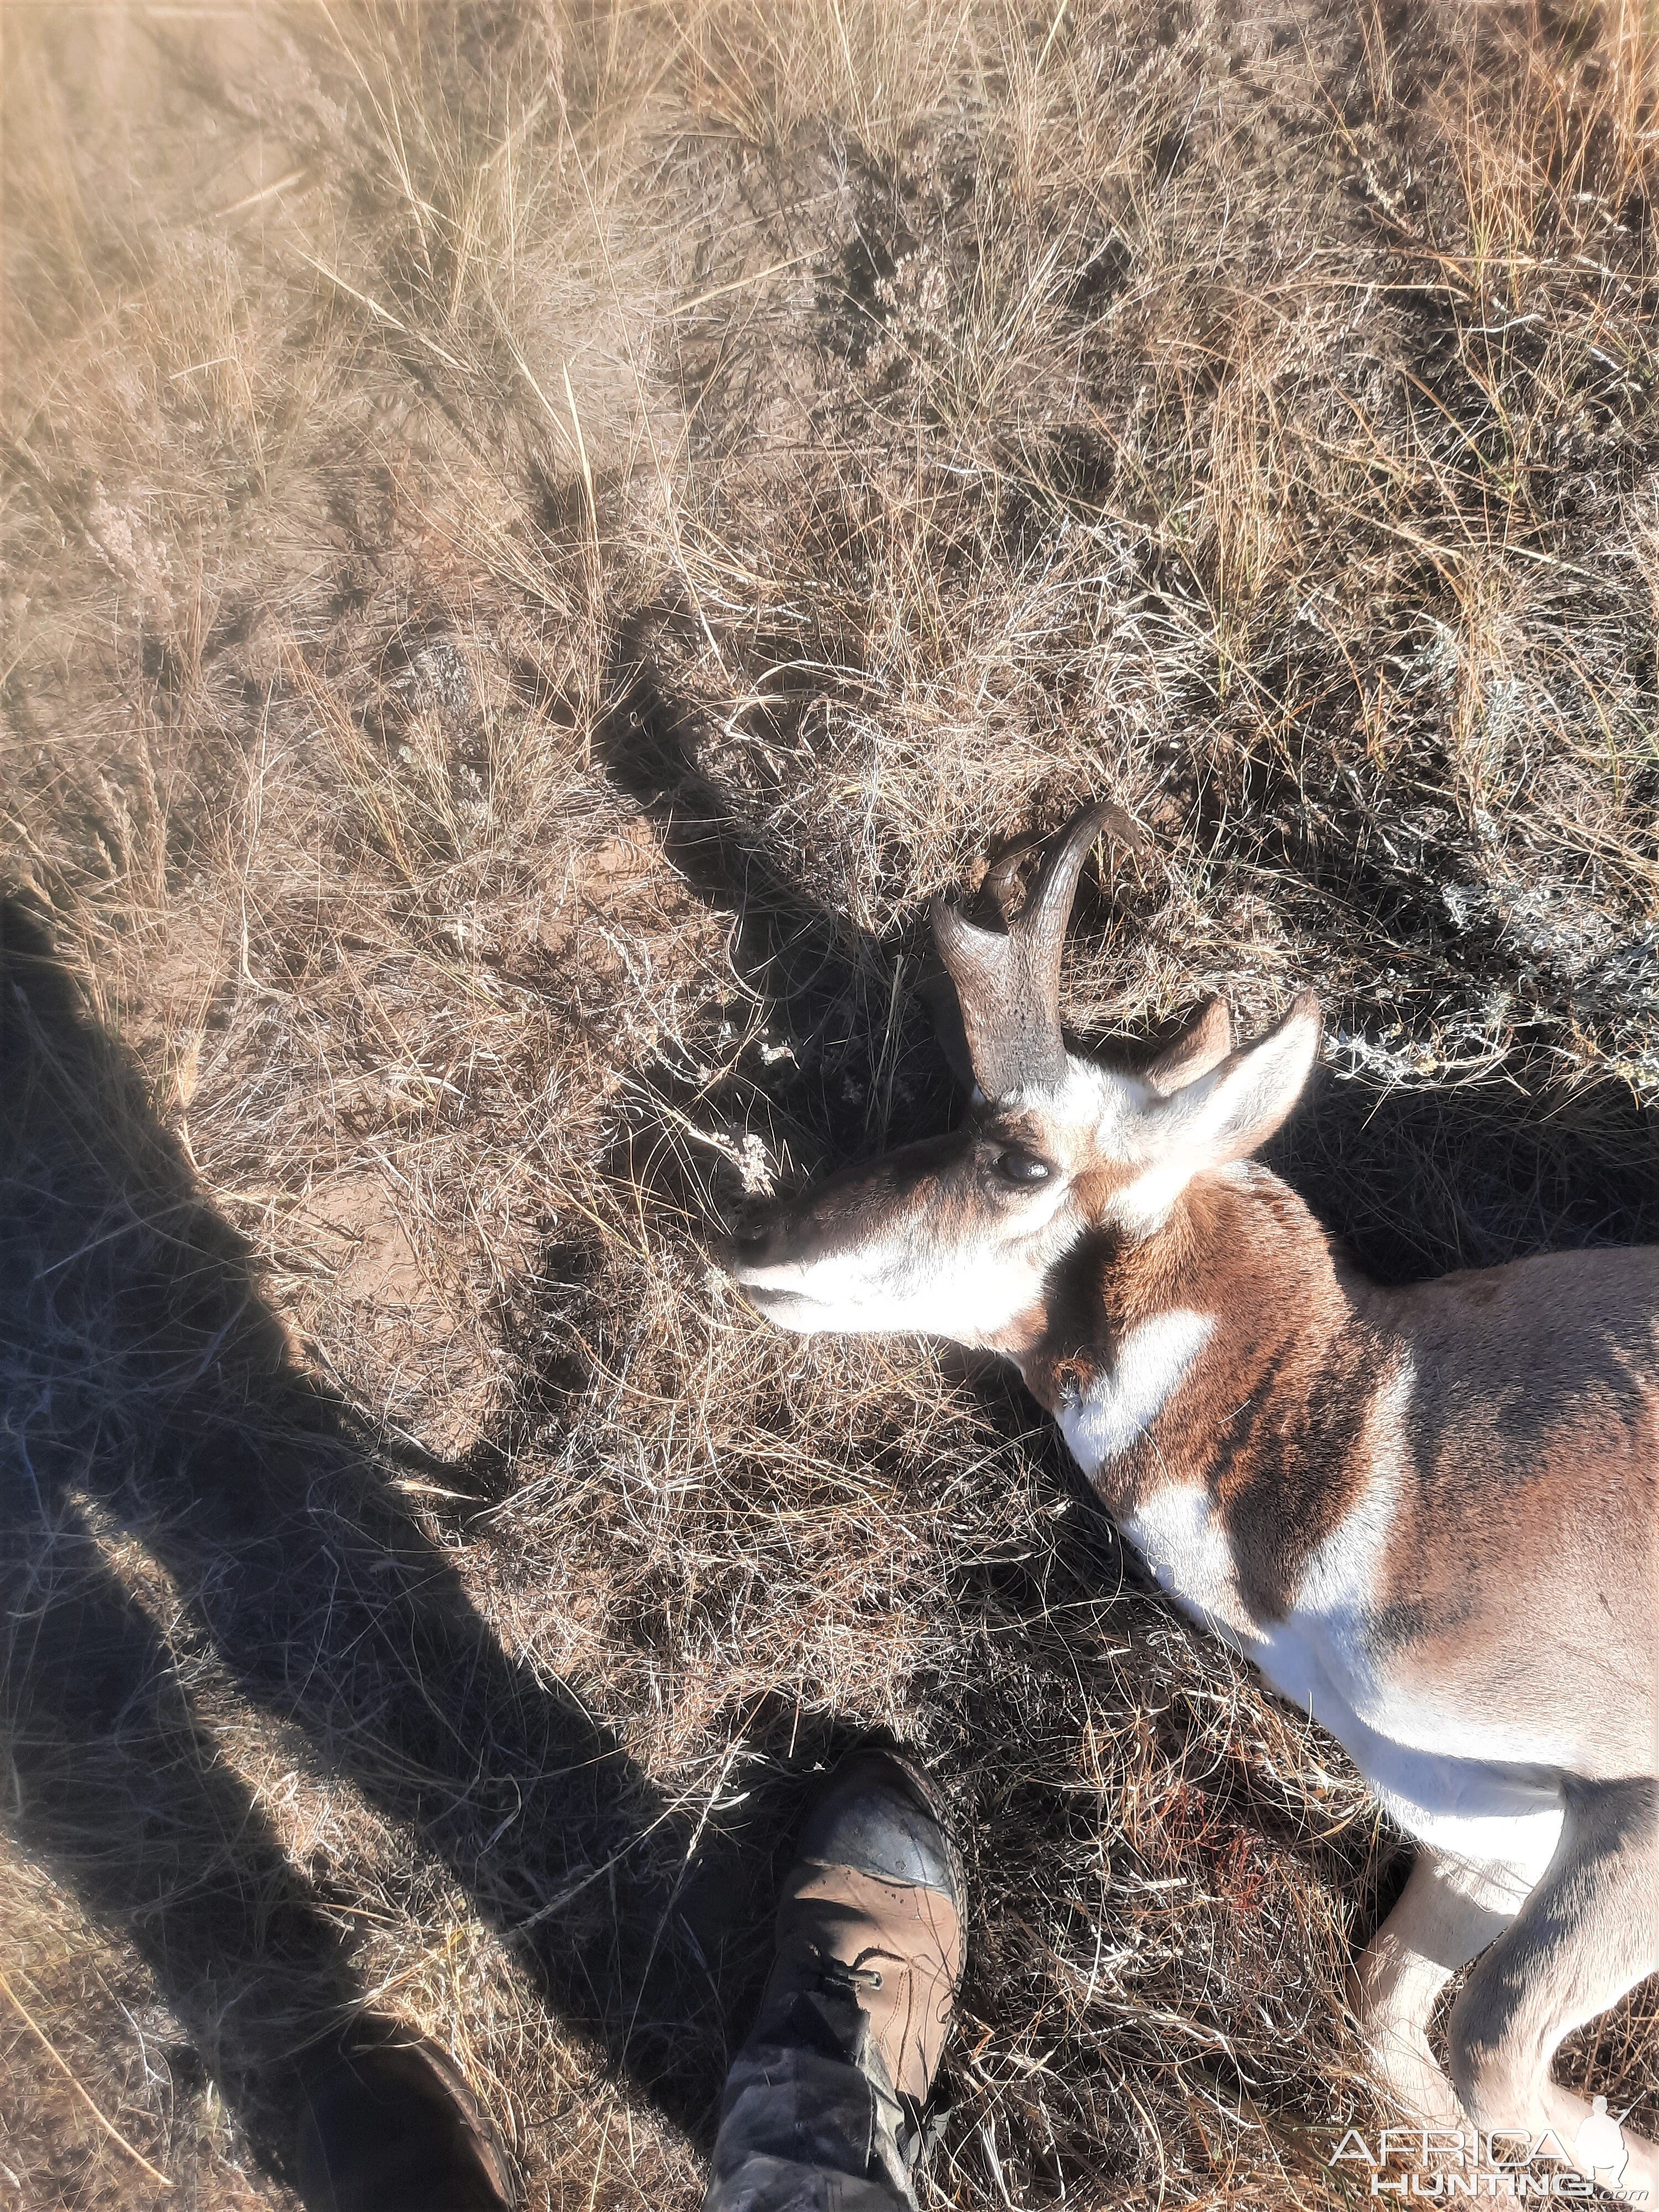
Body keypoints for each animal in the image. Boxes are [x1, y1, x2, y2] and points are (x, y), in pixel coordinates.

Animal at [726, 805, 1659, 2185]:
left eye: (1016, 1157)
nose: (757, 1237)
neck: (1377, 1456)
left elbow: (1488, 2042)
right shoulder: (1491, 1836)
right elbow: (1394, 2024)